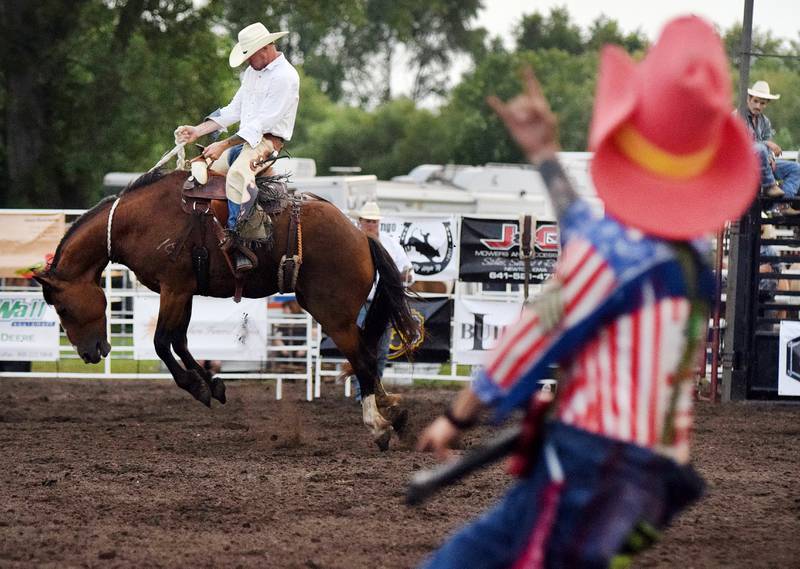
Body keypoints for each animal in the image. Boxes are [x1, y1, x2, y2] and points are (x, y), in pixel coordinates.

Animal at [31, 169, 418, 448]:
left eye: (62, 308)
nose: (89, 353)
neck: (139, 220)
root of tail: (361, 237)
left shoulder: (173, 287)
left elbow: (162, 342)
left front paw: (198, 387)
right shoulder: (185, 291)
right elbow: (181, 341)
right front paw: (213, 384)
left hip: (334, 314)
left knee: (363, 361)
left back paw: (378, 425)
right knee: (367, 358)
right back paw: (395, 412)